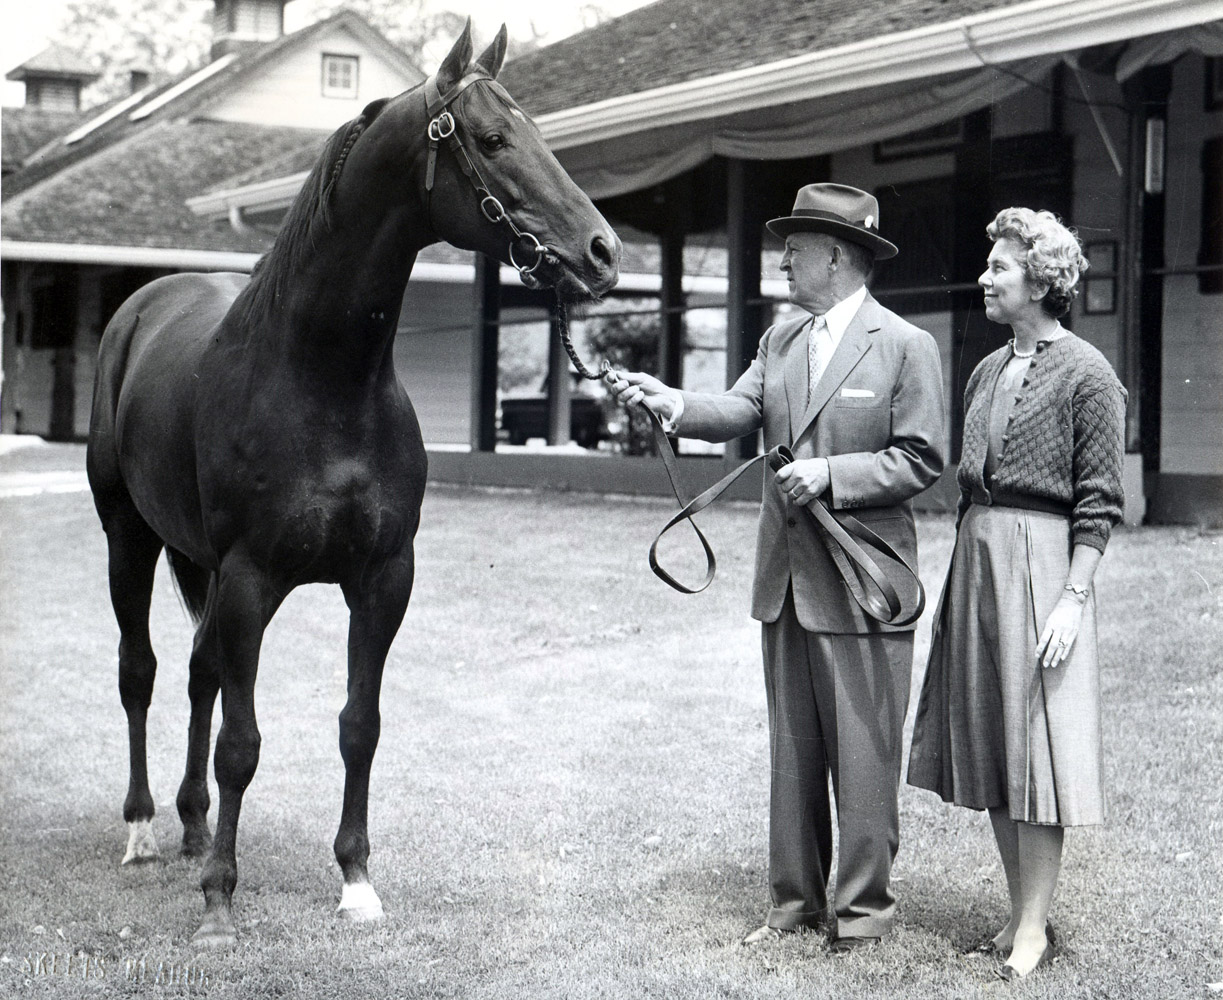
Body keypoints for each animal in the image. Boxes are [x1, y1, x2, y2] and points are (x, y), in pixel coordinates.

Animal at [86, 19, 621, 948]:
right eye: (491, 139)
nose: (601, 251)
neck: (322, 382)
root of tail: (141, 308)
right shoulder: (251, 579)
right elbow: (242, 742)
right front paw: (221, 901)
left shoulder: (381, 579)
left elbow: (358, 727)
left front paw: (356, 882)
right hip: (130, 539)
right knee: (140, 671)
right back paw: (146, 830)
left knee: (195, 673)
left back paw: (192, 825)